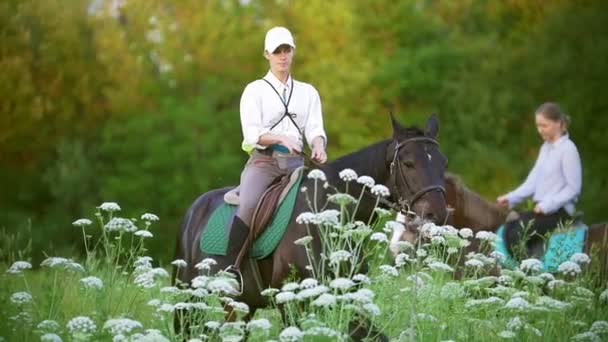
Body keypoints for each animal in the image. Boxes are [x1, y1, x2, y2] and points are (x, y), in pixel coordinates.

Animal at [173, 115, 448, 340]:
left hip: (240, 307)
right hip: (190, 301)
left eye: (443, 163)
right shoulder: (291, 304)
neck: (327, 219)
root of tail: (195, 209)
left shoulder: (347, 301)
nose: (438, 214)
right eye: (409, 163)